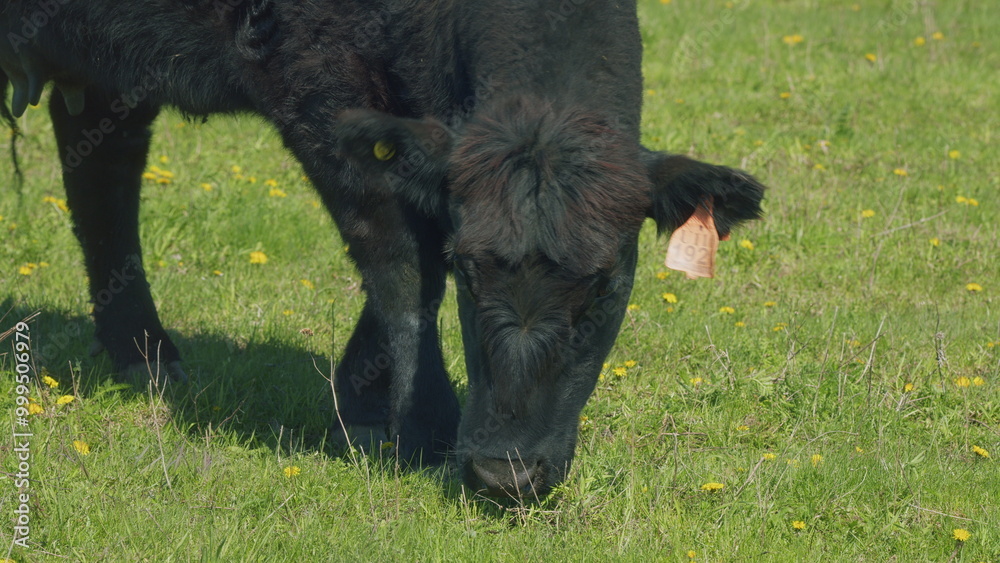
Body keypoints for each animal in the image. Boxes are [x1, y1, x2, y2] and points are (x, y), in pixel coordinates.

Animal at [1, 0, 765, 498]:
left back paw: (145, 353)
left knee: (102, 169)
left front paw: (363, 398)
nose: (505, 474)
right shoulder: (322, 89)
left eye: (604, 286)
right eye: (470, 272)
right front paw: (421, 423)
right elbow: (401, 261)